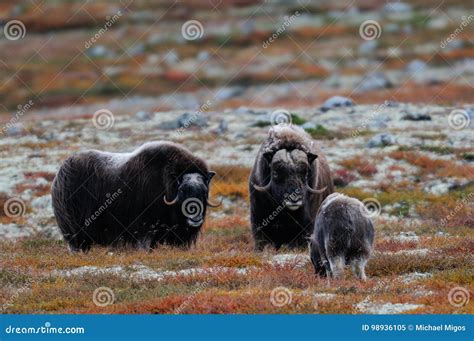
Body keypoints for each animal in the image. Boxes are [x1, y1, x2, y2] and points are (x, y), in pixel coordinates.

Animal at [51, 140, 218, 250]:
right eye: (183, 191)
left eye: (204, 191)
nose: (196, 218)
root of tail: (59, 175)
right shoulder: (144, 227)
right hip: (74, 227)